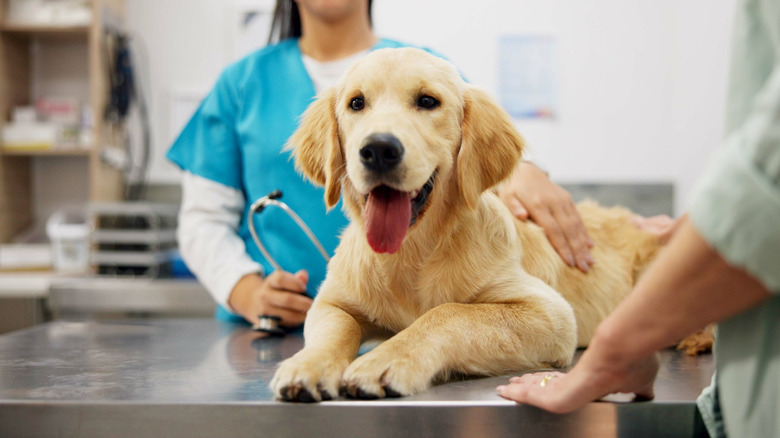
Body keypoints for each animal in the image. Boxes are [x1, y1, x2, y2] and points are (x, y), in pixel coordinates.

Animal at [272, 48, 668, 404]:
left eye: (427, 101)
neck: (411, 253)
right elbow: (334, 328)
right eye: (356, 103)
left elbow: (449, 313)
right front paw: (307, 365)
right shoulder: (331, 302)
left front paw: (386, 359)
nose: (379, 149)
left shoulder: (550, 313)